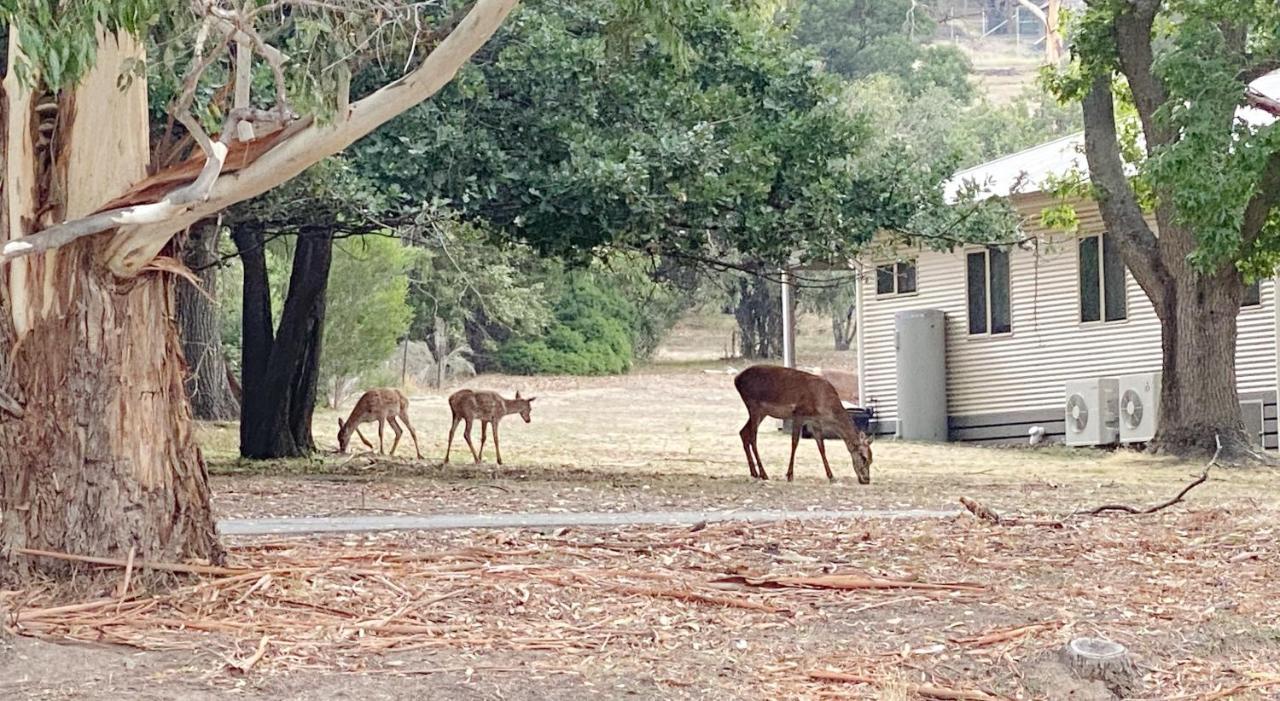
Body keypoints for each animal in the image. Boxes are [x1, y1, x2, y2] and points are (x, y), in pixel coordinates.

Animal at [737, 363, 875, 483]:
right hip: (754, 405)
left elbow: (821, 447)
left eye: (872, 459)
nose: (866, 480)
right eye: (863, 457)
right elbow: (794, 443)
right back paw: (763, 473)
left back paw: (754, 472)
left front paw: (831, 476)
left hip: (761, 412)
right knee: (753, 438)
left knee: (743, 432)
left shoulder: (815, 421)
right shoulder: (799, 414)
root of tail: (736, 379)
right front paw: (790, 475)